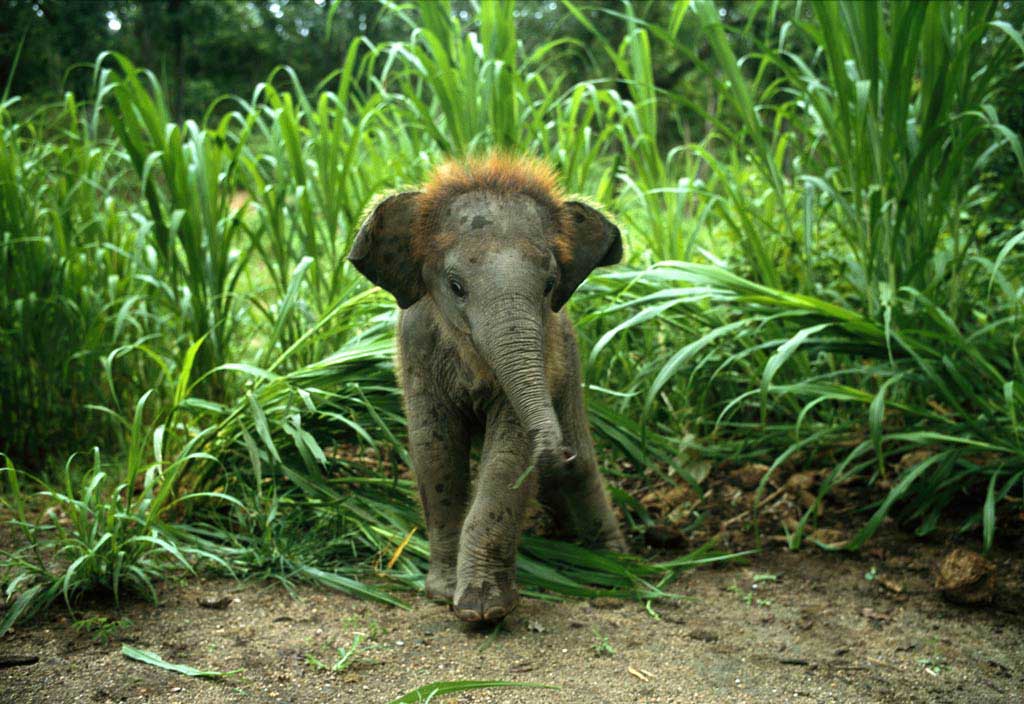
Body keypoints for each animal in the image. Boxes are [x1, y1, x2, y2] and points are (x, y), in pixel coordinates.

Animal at [348, 155, 626, 622]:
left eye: (549, 284)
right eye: (456, 286)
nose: (556, 450)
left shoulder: (547, 353)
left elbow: (508, 457)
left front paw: (483, 611)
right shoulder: (417, 349)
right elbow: (435, 450)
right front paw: (443, 594)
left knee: (582, 469)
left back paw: (614, 565)